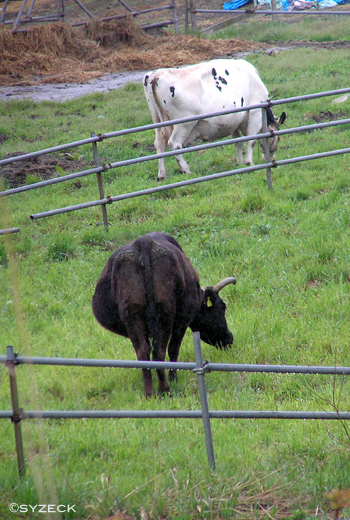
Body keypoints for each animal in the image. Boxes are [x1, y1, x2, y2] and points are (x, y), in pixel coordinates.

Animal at [92, 234, 235, 396]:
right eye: (222, 308)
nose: (230, 338)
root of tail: (144, 243)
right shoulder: (182, 320)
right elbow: (173, 348)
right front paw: (173, 377)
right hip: (164, 313)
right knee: (160, 351)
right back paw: (164, 389)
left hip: (132, 314)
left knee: (143, 352)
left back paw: (149, 392)